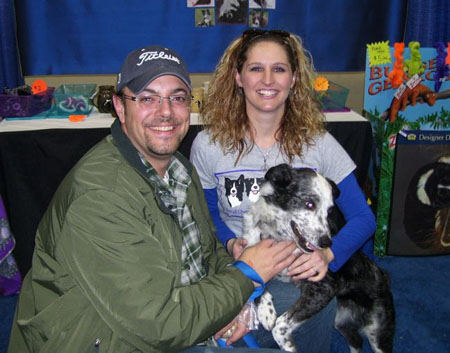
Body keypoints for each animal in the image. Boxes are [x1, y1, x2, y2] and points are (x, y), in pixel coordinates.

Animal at [243, 165, 394, 352]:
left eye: (329, 211)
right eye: (309, 204)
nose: (326, 243)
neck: (278, 236)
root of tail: (384, 277)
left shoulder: (323, 288)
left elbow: (280, 325)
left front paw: (286, 344)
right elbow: (254, 279)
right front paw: (266, 312)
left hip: (379, 333)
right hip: (341, 321)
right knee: (357, 340)